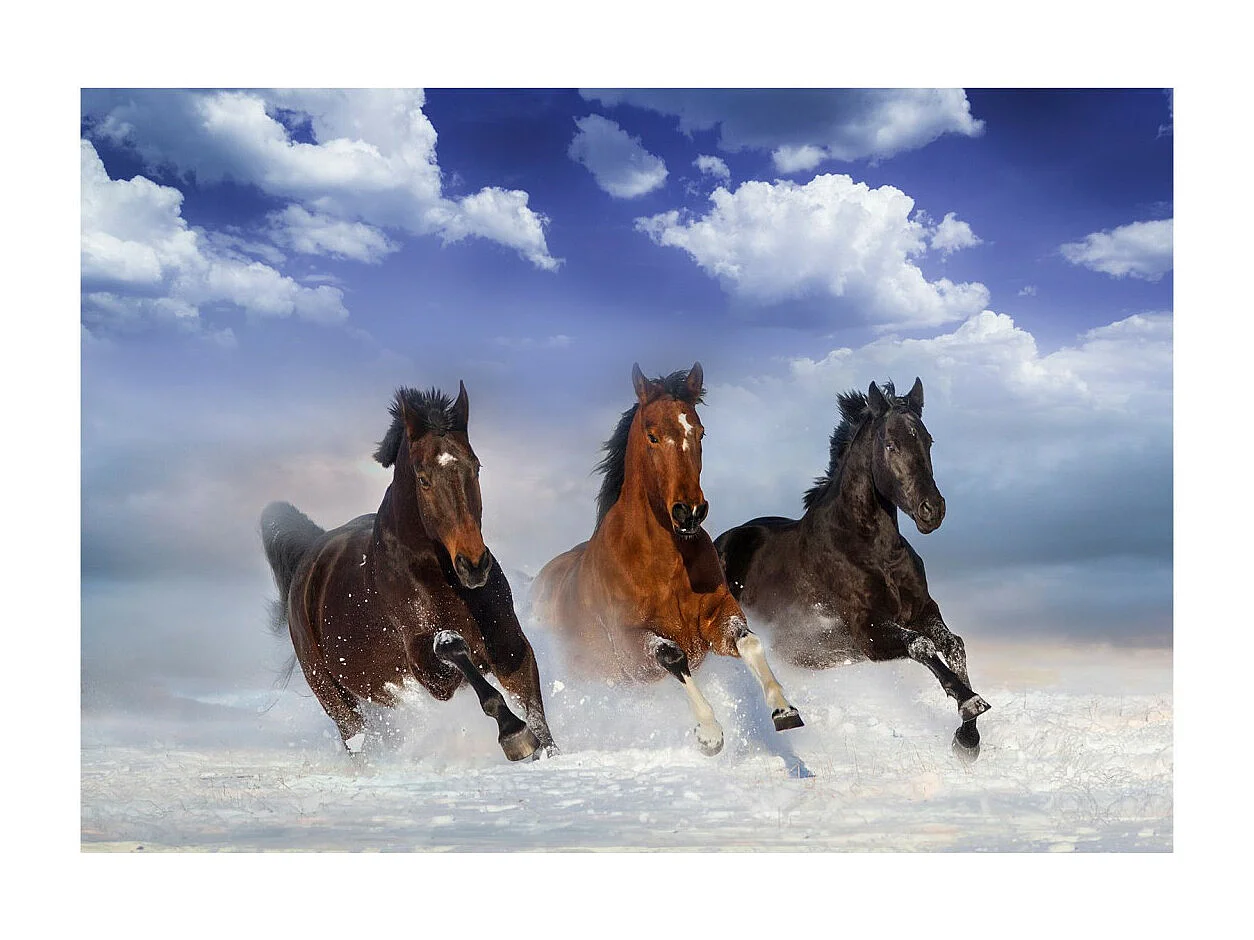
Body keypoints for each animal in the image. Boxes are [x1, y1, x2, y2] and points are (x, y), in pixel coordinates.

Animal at [260, 383, 556, 762]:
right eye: (423, 478)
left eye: (475, 467)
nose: (474, 565)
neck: (439, 576)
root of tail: (309, 558)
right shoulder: (429, 672)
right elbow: (454, 649)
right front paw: (514, 735)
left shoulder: (508, 644)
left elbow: (535, 709)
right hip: (332, 695)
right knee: (357, 739)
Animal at [530, 362, 803, 756]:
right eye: (652, 435)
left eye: (700, 431)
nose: (689, 512)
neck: (666, 565)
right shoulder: (631, 647)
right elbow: (673, 657)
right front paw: (710, 734)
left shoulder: (716, 617)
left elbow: (749, 642)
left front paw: (784, 710)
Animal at [713, 378, 990, 760]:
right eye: (890, 444)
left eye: (928, 440)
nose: (932, 510)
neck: (872, 550)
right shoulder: (866, 630)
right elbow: (921, 646)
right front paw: (969, 703)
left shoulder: (922, 609)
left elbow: (953, 645)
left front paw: (968, 738)